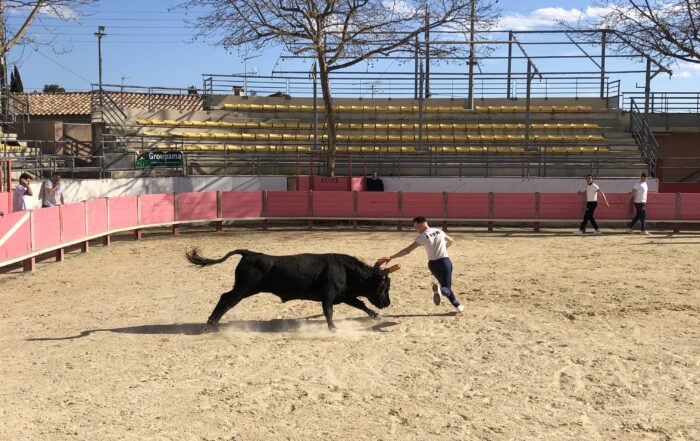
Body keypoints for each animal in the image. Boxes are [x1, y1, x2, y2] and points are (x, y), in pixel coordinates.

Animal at [186, 248, 402, 330]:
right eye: (384, 285)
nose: (387, 303)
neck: (346, 270)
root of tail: (250, 253)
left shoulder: (345, 295)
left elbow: (360, 304)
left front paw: (375, 315)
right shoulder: (329, 296)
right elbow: (328, 312)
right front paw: (333, 328)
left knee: (225, 298)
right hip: (243, 288)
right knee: (226, 299)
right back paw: (211, 323)